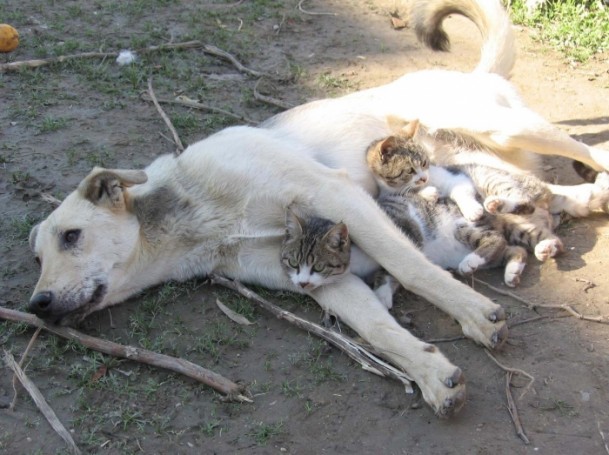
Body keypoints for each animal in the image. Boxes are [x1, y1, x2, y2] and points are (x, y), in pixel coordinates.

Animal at [29, 0, 609, 418]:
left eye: (71, 236)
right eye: (37, 258)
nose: (36, 305)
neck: (201, 223)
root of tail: (472, 74)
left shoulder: (337, 196)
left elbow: (412, 269)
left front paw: (471, 313)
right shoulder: (323, 278)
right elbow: (378, 330)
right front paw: (432, 376)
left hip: (503, 127)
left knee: (586, 153)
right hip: (481, 164)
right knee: (544, 196)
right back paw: (584, 202)